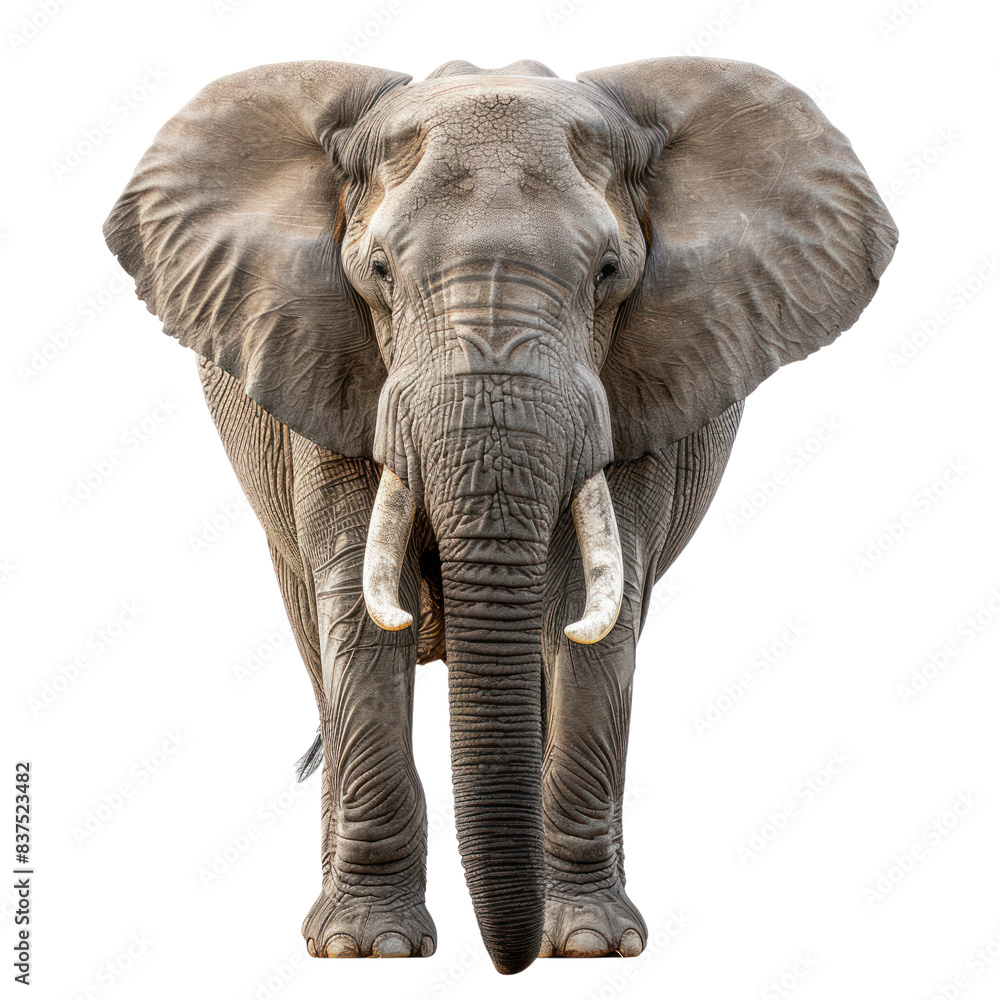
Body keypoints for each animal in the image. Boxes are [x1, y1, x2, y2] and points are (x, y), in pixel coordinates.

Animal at [104, 56, 896, 974]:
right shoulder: (323, 362)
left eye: (609, 271)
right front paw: (368, 950)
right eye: (379, 271)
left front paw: (588, 944)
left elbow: (585, 612)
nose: (507, 963)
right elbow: (358, 613)